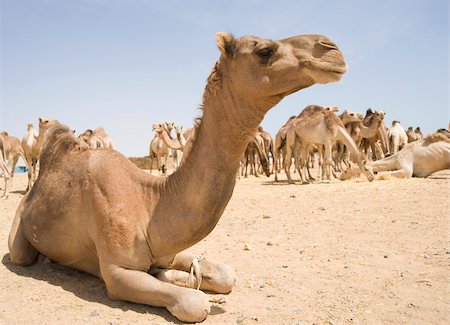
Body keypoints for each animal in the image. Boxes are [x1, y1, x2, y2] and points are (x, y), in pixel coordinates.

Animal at [7, 31, 348, 322]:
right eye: (265, 51)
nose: (332, 48)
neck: (149, 202)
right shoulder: (118, 271)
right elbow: (194, 304)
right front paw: (183, 285)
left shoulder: (168, 248)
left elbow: (225, 274)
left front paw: (179, 275)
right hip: (20, 236)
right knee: (22, 254)